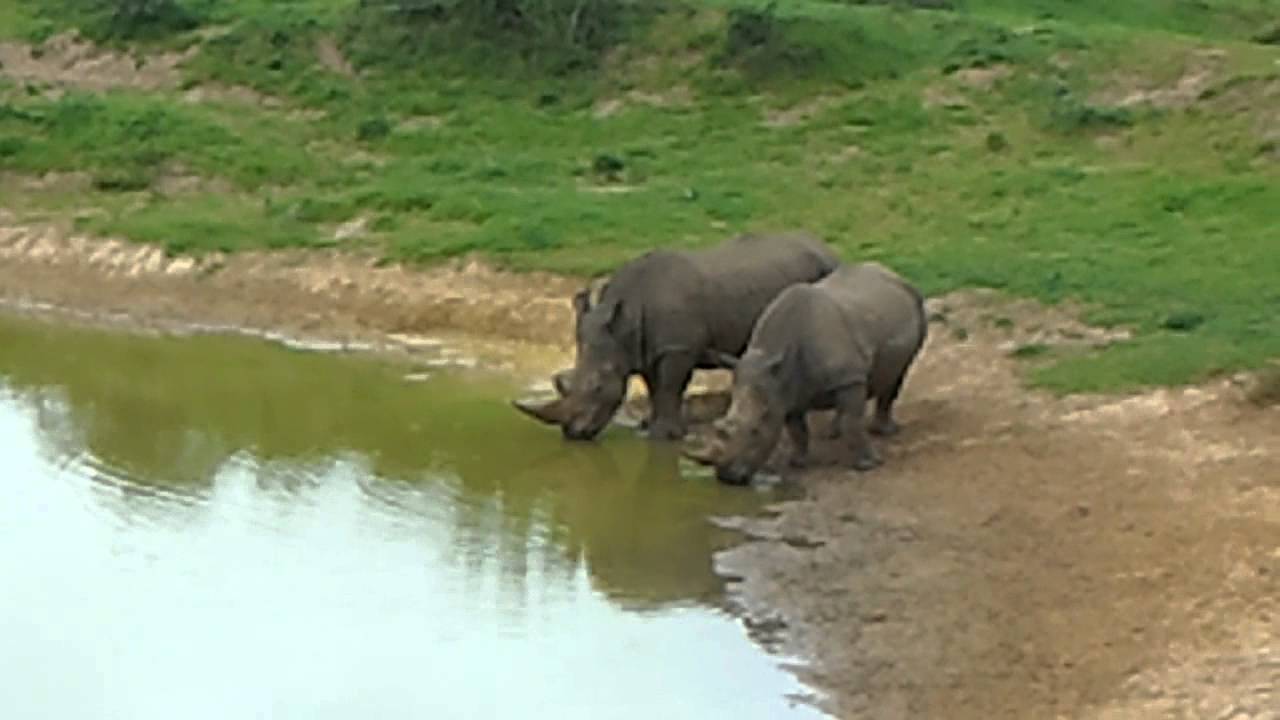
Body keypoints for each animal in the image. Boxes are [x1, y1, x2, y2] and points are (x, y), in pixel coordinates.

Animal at [513, 232, 840, 442]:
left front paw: (663, 436)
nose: (573, 434)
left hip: (824, 275)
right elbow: (654, 386)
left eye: (597, 386)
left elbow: (670, 387)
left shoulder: (677, 349)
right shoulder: (644, 348)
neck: (626, 319)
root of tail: (826, 248)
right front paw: (647, 425)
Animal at [682, 261, 927, 485]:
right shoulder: (786, 390)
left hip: (915, 304)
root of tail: (891, 273)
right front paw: (798, 462)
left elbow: (853, 421)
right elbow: (796, 429)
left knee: (898, 374)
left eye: (756, 430)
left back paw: (885, 431)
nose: (728, 478)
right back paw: (833, 433)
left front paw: (868, 466)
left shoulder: (849, 378)